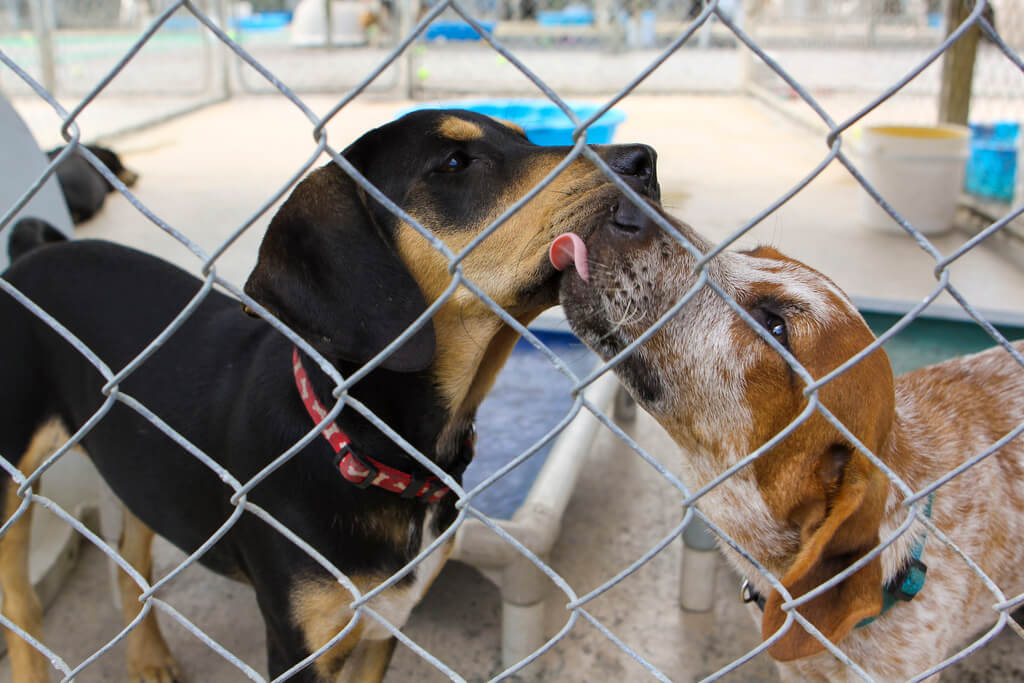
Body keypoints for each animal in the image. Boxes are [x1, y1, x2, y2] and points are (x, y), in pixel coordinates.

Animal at [0, 109, 659, 679]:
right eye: (454, 162)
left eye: (525, 138)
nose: (645, 161)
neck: (365, 448)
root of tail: (33, 253)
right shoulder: (299, 646)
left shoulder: (384, 626)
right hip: (16, 480)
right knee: (22, 602)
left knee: (130, 560)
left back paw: (149, 657)